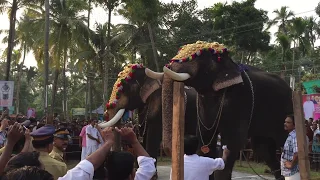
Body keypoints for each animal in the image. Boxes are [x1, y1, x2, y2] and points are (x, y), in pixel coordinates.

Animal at [148, 41, 292, 180]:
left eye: (199, 57)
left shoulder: (241, 99)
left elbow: (233, 142)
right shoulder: (203, 105)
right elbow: (205, 138)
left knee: (281, 141)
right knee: (263, 149)